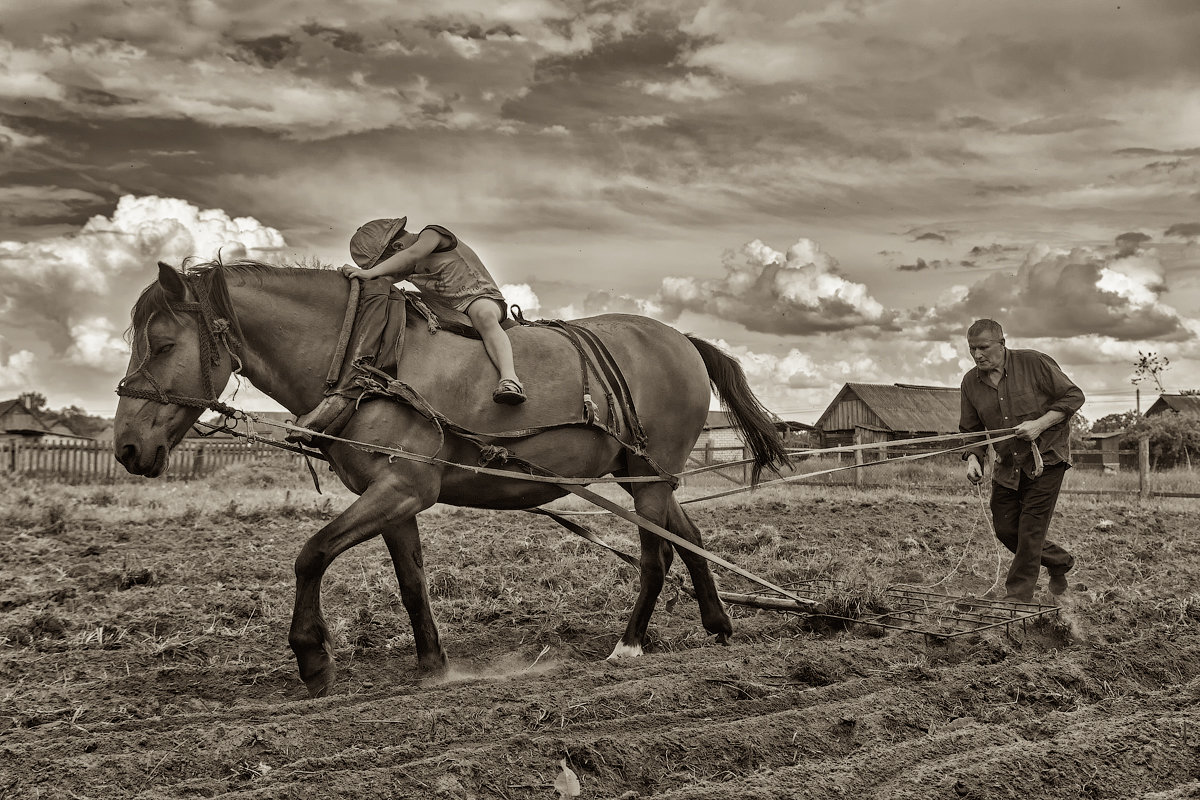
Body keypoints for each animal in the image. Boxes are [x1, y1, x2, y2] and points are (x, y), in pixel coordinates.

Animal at [110, 260, 787, 695]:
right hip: (647, 475)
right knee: (686, 536)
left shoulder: (405, 487)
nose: (127, 447)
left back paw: (630, 644)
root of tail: (682, 340)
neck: (366, 358)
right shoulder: (392, 498)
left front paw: (312, 657)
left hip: (649, 476)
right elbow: (412, 582)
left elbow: (311, 554)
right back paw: (718, 624)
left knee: (656, 553)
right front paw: (433, 664)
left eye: (162, 343)